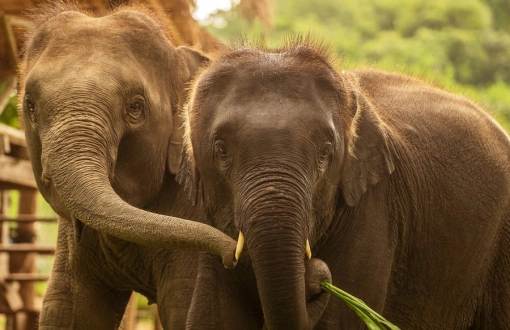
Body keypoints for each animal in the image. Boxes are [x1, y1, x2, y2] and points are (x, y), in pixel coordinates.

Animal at [178, 40, 510, 330]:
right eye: (221, 150)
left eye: (325, 152)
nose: (317, 279)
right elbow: (213, 319)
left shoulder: (373, 209)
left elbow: (337, 322)